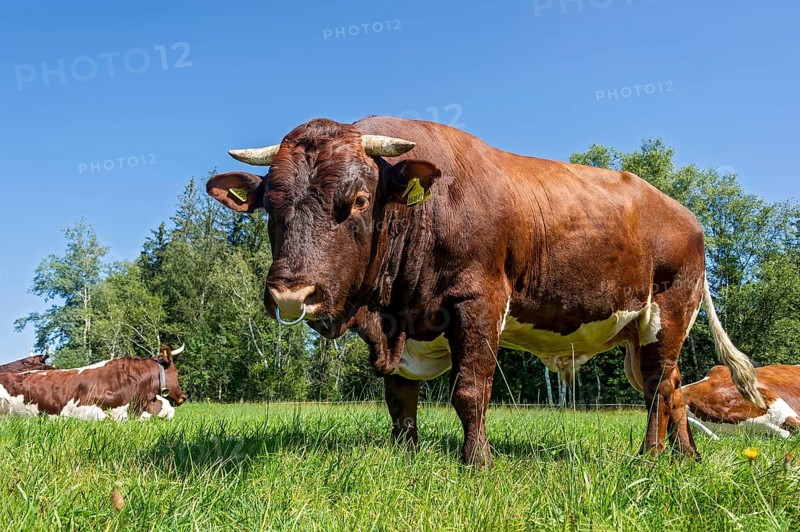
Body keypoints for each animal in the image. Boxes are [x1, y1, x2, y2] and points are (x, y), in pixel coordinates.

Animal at [206, 116, 765, 467]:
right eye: (270, 205)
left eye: (360, 199)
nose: (291, 294)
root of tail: (686, 214)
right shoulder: (399, 327)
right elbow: (399, 399)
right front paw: (404, 456)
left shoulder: (478, 303)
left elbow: (470, 391)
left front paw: (477, 463)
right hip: (638, 330)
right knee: (674, 387)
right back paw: (685, 458)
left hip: (666, 312)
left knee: (657, 388)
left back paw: (649, 457)